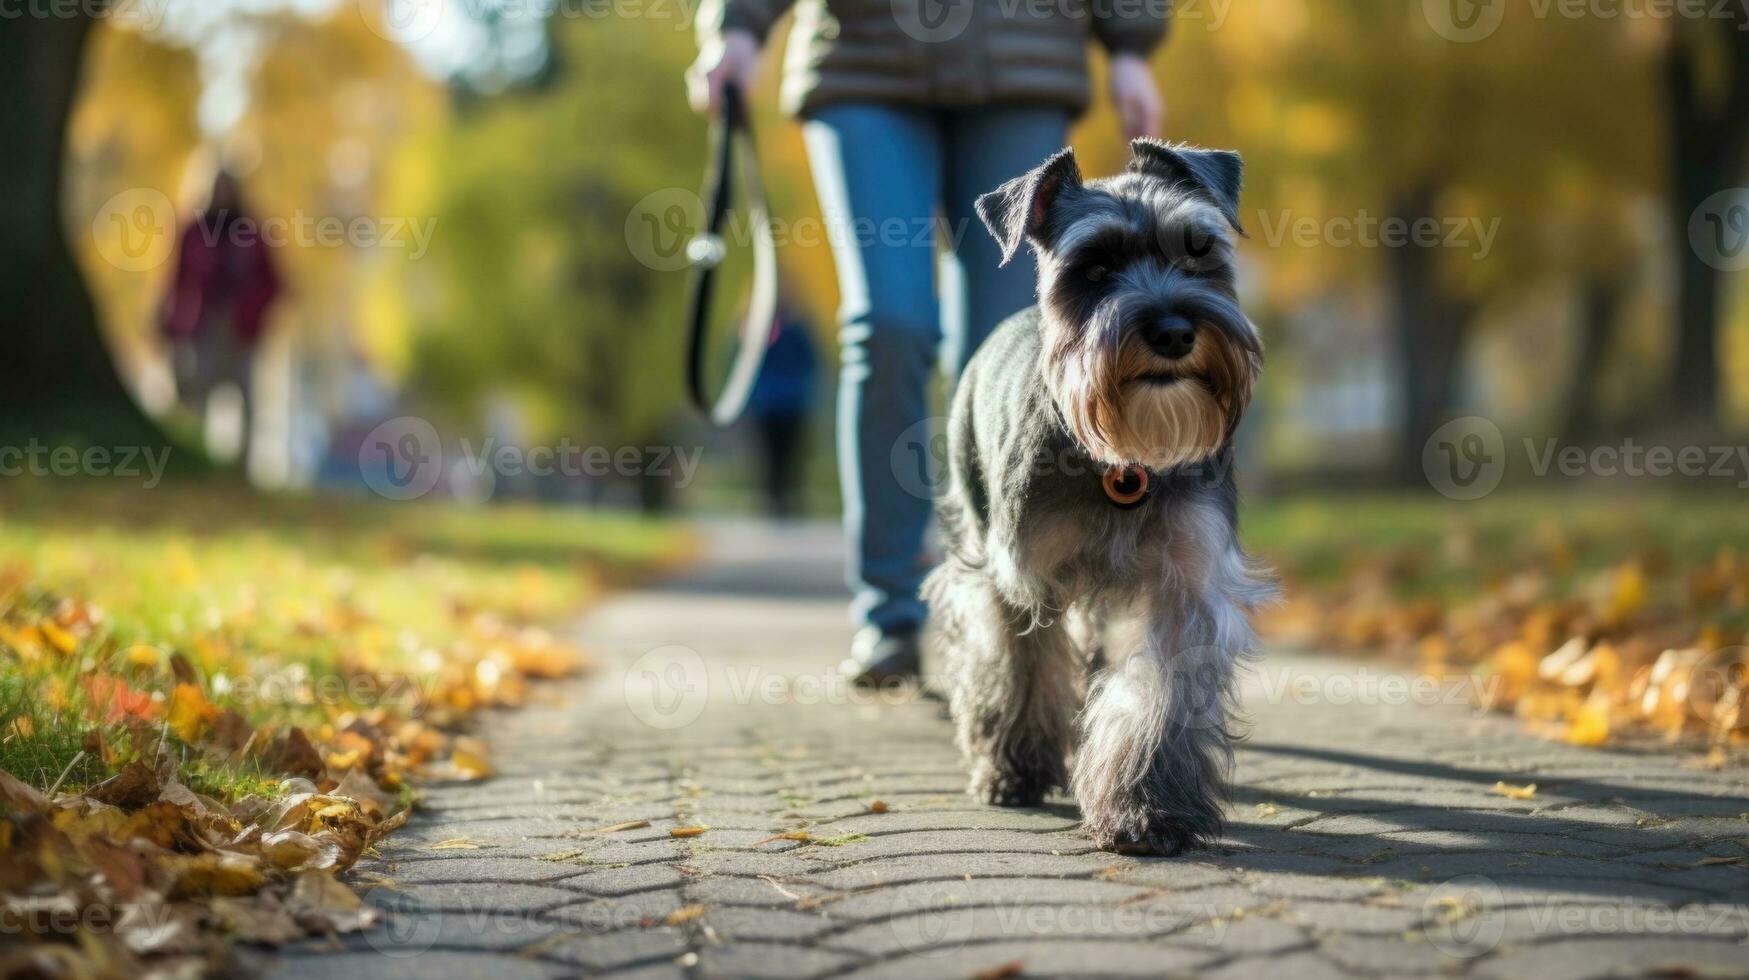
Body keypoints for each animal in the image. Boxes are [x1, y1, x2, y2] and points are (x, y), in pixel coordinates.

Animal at [930, 138, 1273, 857]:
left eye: (1198, 250)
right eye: (1093, 266)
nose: (1173, 331)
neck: (1124, 465)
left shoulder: (1184, 585)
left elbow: (1154, 695)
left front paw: (1147, 808)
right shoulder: (1019, 578)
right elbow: (1019, 667)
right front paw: (1014, 766)